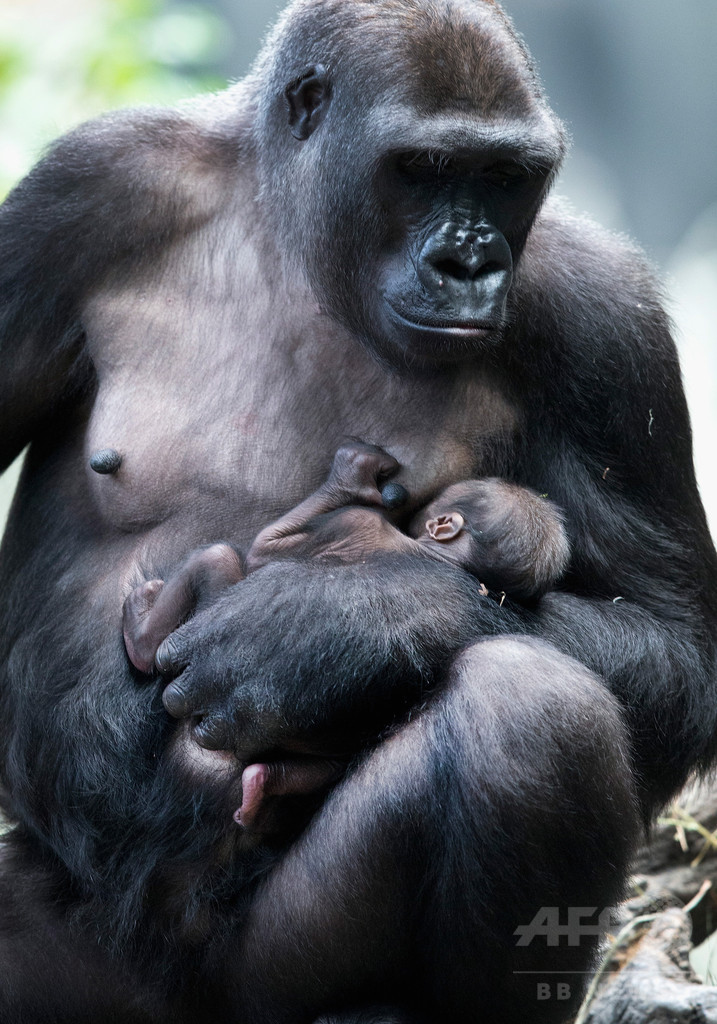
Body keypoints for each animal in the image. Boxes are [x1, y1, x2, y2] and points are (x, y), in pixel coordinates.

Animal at [1, 2, 717, 1024]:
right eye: (422, 166)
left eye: (504, 177)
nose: (467, 261)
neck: (297, 238)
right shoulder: (80, 194)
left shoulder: (606, 321)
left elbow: (675, 646)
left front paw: (336, 629)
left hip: (269, 974)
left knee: (534, 710)